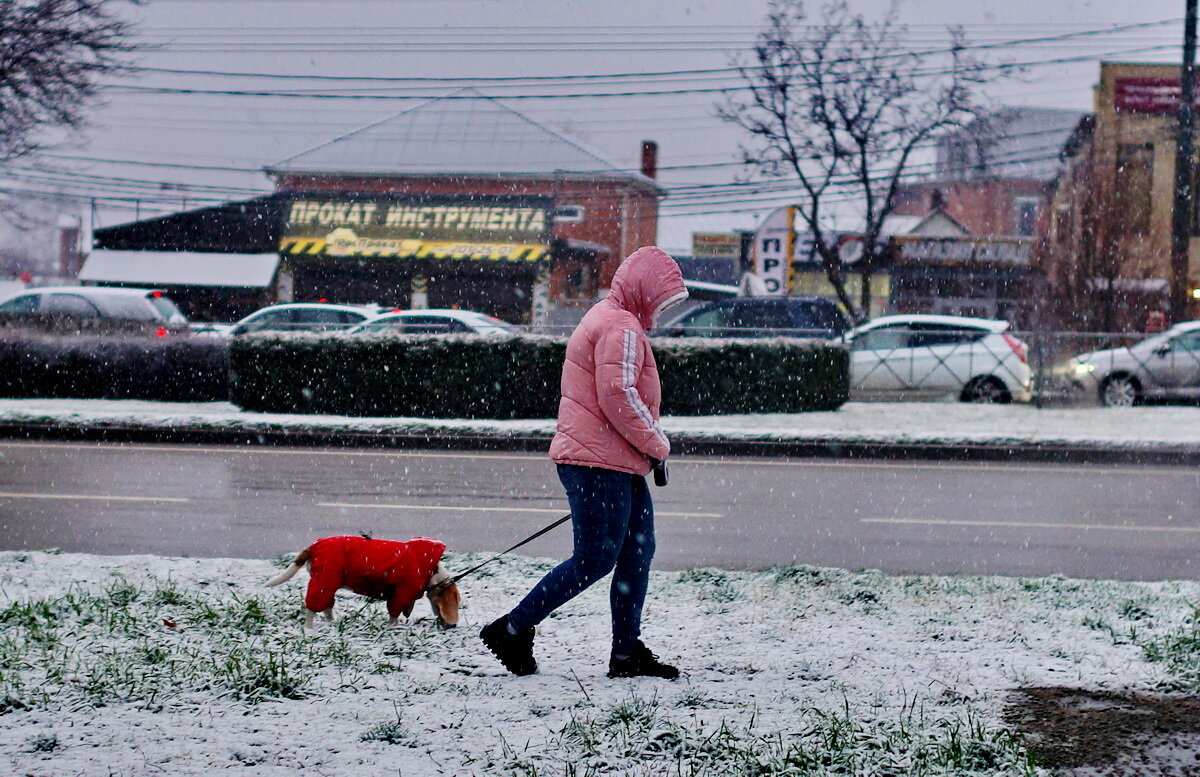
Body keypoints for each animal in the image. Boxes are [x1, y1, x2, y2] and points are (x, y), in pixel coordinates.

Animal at [265, 537, 460, 628]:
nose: (453, 626)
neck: (432, 571)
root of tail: (314, 546)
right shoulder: (399, 595)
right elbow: (394, 614)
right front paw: (394, 628)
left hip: (329, 583)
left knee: (327, 606)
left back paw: (331, 623)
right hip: (323, 581)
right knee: (312, 609)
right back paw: (309, 629)